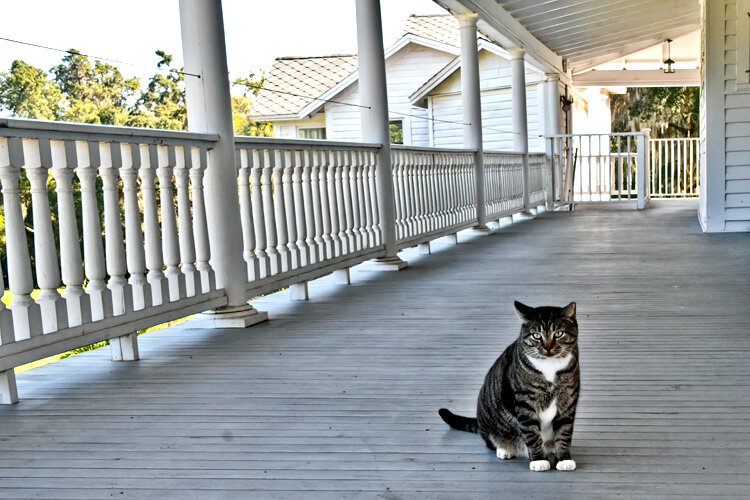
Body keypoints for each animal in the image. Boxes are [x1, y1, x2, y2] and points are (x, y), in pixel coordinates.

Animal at [440, 300, 580, 472]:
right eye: (536, 335)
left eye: (558, 333)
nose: (547, 347)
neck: (550, 367)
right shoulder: (525, 403)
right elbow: (532, 434)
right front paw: (539, 460)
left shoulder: (567, 401)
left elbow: (564, 432)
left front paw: (564, 459)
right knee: (491, 441)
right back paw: (505, 449)